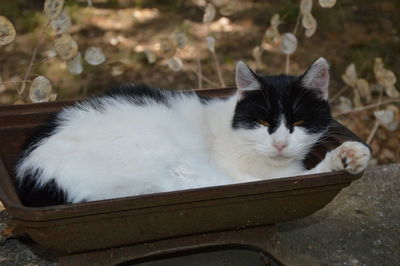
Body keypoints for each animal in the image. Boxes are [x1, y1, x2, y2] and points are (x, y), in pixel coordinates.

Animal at [15, 58, 372, 207]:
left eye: (297, 123)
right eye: (262, 123)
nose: (281, 143)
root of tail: (32, 173)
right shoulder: (244, 174)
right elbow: (285, 179)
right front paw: (346, 156)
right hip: (174, 162)